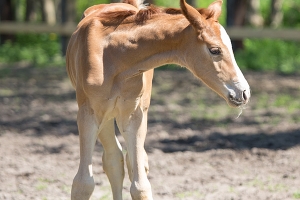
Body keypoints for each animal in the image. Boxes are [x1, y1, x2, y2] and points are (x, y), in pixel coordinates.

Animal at [66, 0, 251, 199]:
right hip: (105, 116)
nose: (244, 92)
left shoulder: (134, 115)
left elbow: (140, 186)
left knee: (129, 161)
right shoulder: (88, 115)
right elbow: (83, 184)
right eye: (215, 50)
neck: (113, 57)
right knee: (113, 159)